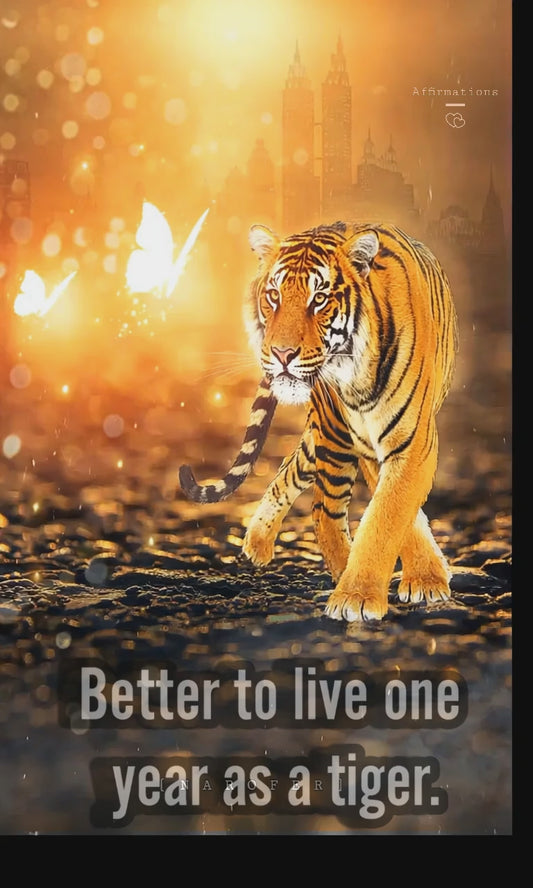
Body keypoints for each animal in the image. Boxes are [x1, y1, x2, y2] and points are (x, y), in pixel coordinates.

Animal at [179, 220, 458, 622]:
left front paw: (406, 584)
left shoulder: (411, 443)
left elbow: (387, 516)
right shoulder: (359, 444)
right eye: (274, 296)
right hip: (331, 435)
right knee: (314, 501)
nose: (280, 353)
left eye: (320, 299)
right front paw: (360, 592)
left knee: (295, 473)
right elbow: (377, 516)